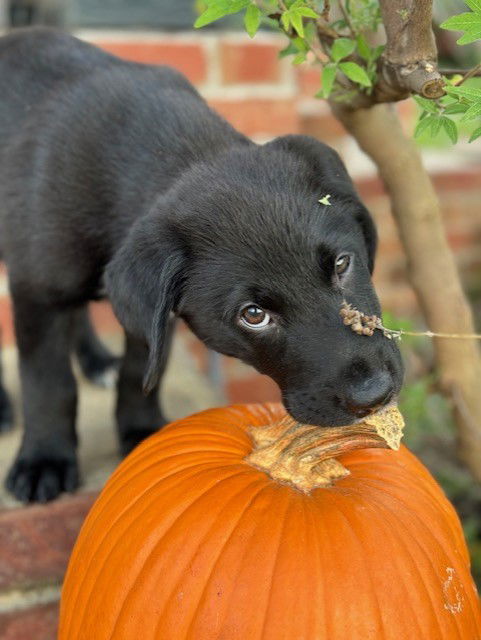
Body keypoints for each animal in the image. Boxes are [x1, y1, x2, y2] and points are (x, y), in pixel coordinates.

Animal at [0, 27, 402, 502]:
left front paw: (141, 431)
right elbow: (48, 381)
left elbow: (141, 366)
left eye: (342, 264)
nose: (374, 395)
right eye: (253, 315)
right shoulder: (38, 290)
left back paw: (97, 361)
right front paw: (44, 459)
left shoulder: (147, 311)